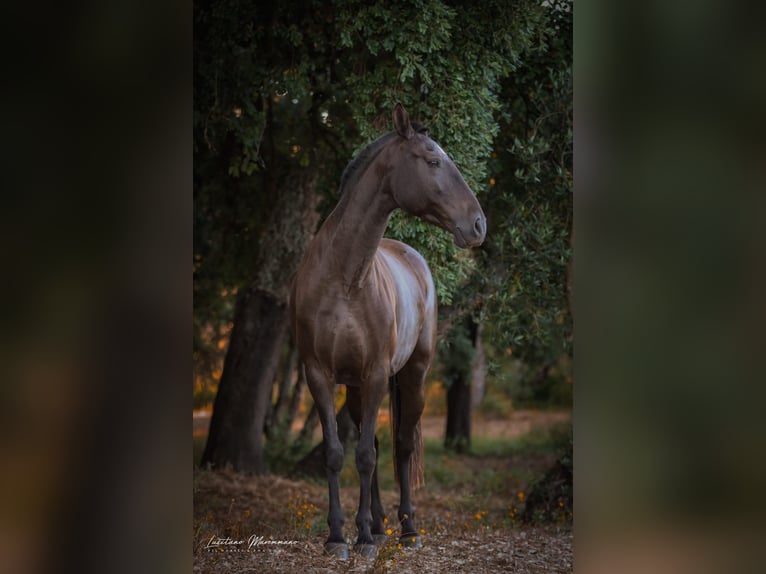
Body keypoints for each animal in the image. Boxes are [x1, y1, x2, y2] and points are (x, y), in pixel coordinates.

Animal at [290, 102, 486, 560]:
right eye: (432, 161)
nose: (478, 225)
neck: (344, 279)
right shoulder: (319, 374)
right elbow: (338, 452)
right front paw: (338, 536)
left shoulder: (377, 372)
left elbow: (363, 455)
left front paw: (361, 538)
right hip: (356, 388)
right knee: (378, 446)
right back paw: (379, 526)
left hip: (412, 375)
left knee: (401, 445)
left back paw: (407, 529)